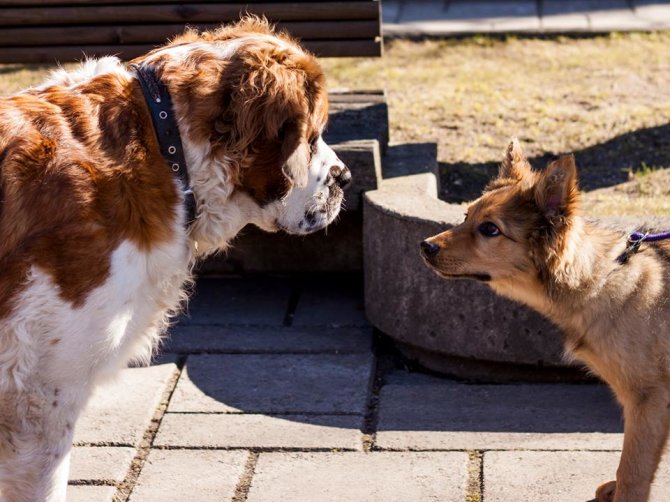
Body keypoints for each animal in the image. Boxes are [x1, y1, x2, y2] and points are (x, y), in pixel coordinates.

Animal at [422, 139, 668, 502]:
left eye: (490, 229)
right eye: (466, 215)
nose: (424, 246)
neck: (602, 278)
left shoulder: (648, 400)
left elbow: (633, 469)